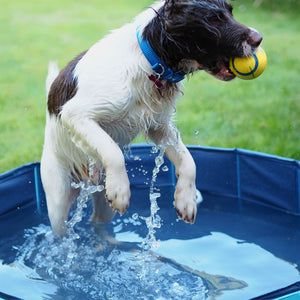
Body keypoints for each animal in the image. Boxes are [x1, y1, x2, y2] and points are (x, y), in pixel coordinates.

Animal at [40, 0, 262, 234]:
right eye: (213, 19)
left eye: (231, 12)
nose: (259, 38)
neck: (149, 62)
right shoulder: (76, 114)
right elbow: (113, 152)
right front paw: (121, 190)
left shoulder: (159, 126)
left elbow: (189, 161)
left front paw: (187, 200)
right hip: (58, 195)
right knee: (60, 231)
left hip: (101, 195)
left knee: (97, 223)